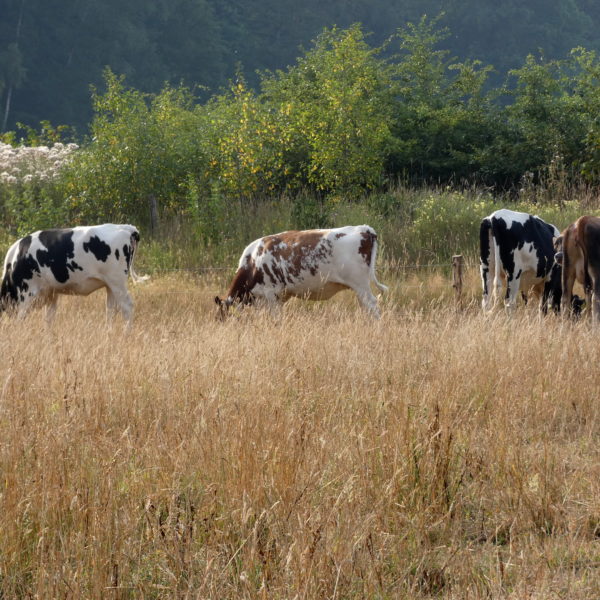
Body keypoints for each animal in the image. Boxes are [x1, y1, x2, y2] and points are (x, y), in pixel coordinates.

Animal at [0, 223, 148, 322]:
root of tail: (127, 228)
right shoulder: (51, 293)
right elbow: (48, 319)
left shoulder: (25, 295)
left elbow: (21, 320)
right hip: (110, 285)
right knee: (111, 310)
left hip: (117, 281)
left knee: (127, 307)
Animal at [216, 225, 390, 318]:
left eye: (222, 316)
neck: (252, 261)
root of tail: (363, 229)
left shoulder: (271, 294)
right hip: (359, 288)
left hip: (361, 285)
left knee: (372, 305)